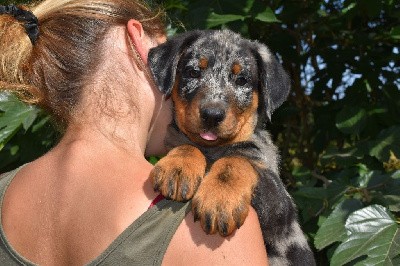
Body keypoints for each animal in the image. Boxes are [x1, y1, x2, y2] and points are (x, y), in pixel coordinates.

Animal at [148, 29, 314, 266]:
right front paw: (178, 167)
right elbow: (188, 145)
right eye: (193, 72)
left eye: (242, 80)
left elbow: (237, 158)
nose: (212, 115)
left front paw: (219, 199)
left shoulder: (279, 205)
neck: (212, 150)